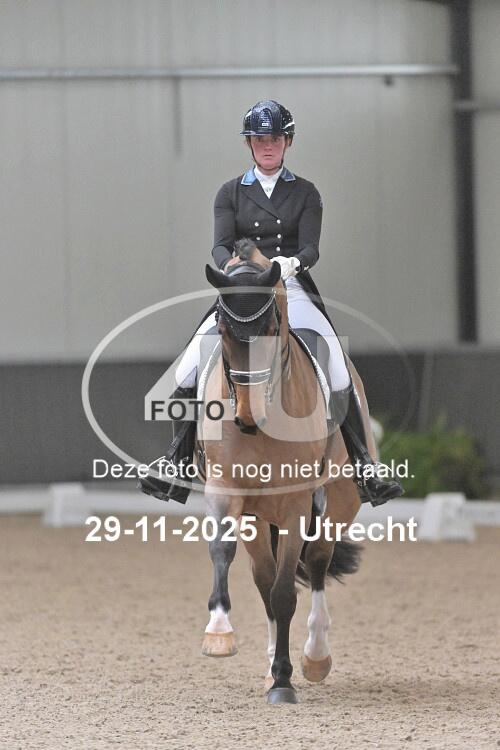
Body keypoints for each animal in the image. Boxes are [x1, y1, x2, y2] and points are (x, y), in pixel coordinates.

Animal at [197, 241, 376, 704]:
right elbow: (224, 554)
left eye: (273, 327)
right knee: (264, 577)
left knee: (315, 566)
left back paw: (314, 657)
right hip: (260, 518)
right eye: (223, 329)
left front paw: (283, 680)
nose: (246, 416)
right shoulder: (226, 491)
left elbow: (284, 594)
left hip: (337, 504)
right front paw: (219, 632)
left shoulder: (298, 504)